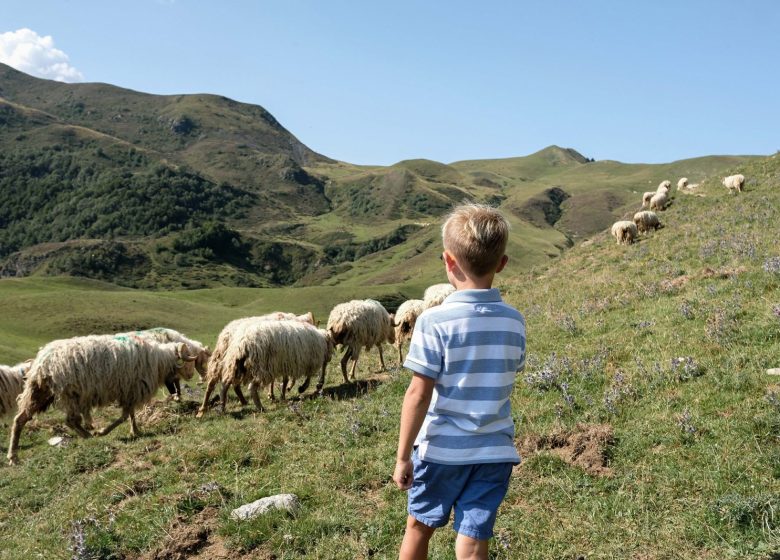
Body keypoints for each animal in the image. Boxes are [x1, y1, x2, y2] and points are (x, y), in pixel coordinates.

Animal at [7, 336, 197, 464]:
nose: (190, 376)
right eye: (187, 360)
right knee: (70, 421)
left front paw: (135, 431)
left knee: (20, 419)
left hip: (39, 392)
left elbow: (130, 415)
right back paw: (89, 436)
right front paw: (103, 431)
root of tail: (42, 361)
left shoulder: (129, 391)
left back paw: (13, 456)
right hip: (70, 393)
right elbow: (125, 416)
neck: (158, 361)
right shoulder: (132, 389)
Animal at [198, 320, 332, 416]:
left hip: (234, 364)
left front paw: (283, 395)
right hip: (261, 366)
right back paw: (260, 407)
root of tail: (242, 342)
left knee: (224, 385)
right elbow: (308, 376)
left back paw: (221, 407)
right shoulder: (309, 361)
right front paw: (302, 387)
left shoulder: (286, 363)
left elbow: (285, 381)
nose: (329, 358)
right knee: (251, 387)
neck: (321, 339)